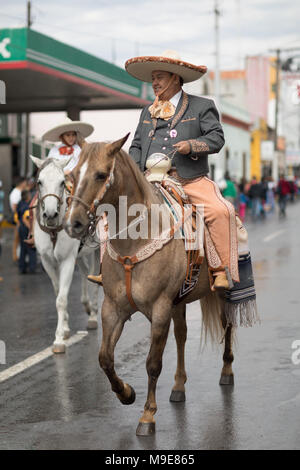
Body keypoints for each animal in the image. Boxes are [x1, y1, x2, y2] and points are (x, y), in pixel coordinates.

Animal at [29, 157, 99, 352]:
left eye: (62, 182)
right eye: (39, 181)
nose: (50, 214)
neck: (54, 229)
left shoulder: (67, 260)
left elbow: (61, 299)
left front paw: (59, 339)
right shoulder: (47, 262)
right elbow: (58, 292)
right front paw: (65, 328)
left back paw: (94, 314)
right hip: (80, 254)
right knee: (86, 273)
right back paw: (87, 306)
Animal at [64, 136, 236, 436]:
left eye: (101, 175)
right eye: (73, 175)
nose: (73, 223)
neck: (135, 241)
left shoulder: (159, 310)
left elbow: (153, 364)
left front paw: (147, 415)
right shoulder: (113, 309)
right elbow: (105, 358)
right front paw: (126, 393)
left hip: (224, 293)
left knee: (227, 325)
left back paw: (227, 371)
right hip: (179, 303)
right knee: (182, 336)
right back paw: (178, 386)